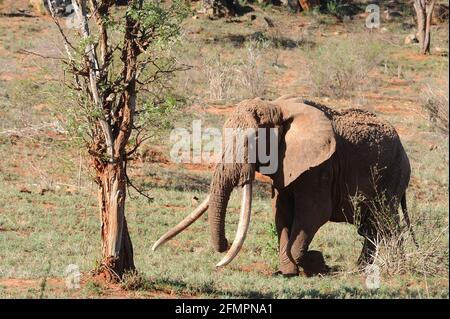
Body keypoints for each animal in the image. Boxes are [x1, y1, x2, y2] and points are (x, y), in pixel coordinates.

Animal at [152, 95, 414, 278]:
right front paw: (289, 270)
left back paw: (386, 268)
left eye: (252, 141)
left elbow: (313, 214)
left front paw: (311, 263)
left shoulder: (321, 166)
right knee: (371, 226)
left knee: (384, 222)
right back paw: (362, 268)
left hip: (394, 175)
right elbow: (281, 212)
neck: (276, 107)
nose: (224, 244)